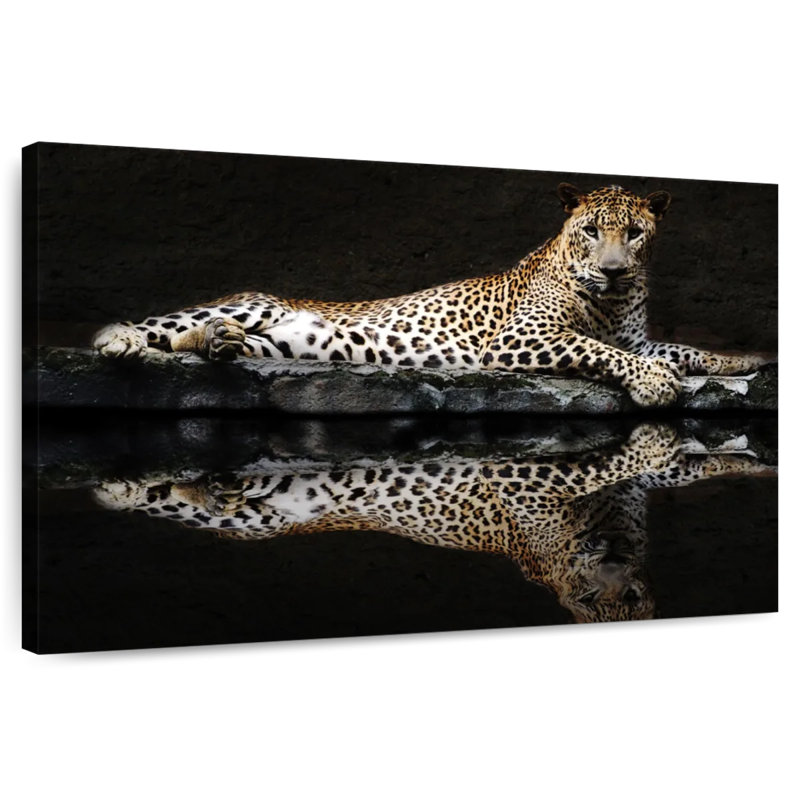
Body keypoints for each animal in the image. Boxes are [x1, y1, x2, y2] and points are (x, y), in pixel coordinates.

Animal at [92, 183, 766, 408]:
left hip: (289, 344)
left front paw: (745, 361)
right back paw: (123, 340)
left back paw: (219, 343)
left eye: (634, 234)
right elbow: (606, 353)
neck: (611, 300)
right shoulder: (522, 339)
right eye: (592, 231)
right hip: (254, 301)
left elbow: (680, 349)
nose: (616, 271)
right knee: (163, 325)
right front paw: (653, 385)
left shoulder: (640, 336)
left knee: (205, 340)